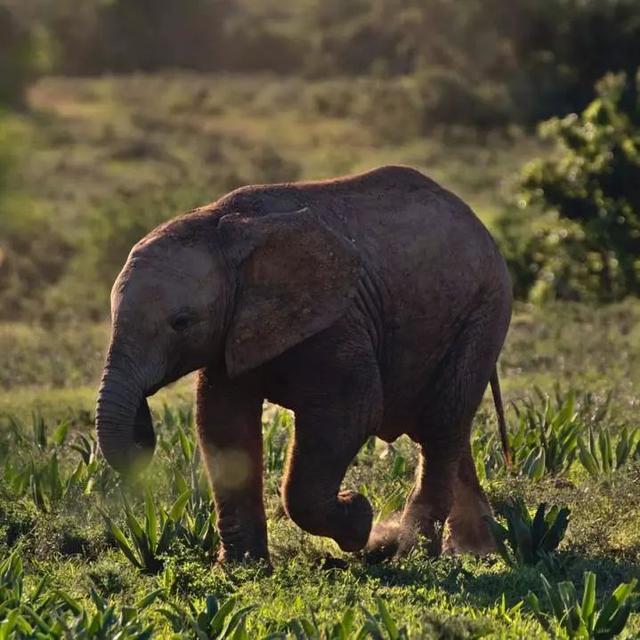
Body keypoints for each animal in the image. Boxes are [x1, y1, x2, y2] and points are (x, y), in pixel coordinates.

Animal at [94, 165, 510, 564]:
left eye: (180, 323)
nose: (143, 432)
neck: (223, 226)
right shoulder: (234, 329)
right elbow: (222, 423)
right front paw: (240, 571)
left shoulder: (337, 321)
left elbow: (353, 412)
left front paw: (359, 520)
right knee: (446, 431)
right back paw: (477, 551)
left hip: (484, 312)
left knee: (441, 424)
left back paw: (413, 554)